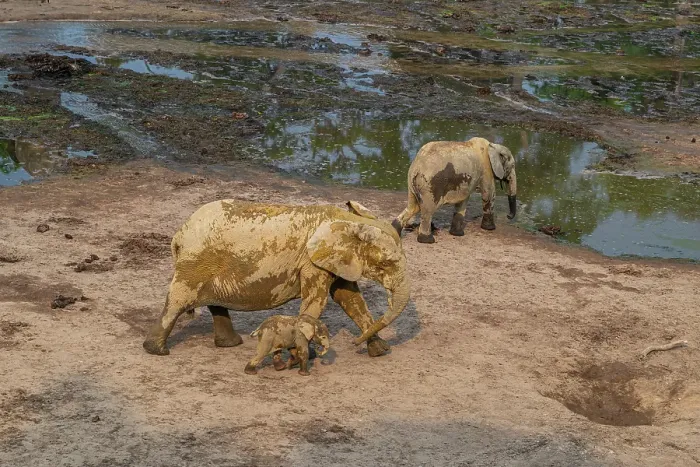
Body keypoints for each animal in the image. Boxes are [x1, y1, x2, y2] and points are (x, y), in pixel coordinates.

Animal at [142, 200, 409, 357]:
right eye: (386, 264)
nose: (353, 343)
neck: (350, 220)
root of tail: (178, 235)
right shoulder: (311, 262)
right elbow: (317, 301)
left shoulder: (337, 260)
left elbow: (350, 299)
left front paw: (380, 351)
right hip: (196, 262)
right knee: (178, 301)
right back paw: (157, 351)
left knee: (213, 302)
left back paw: (231, 344)